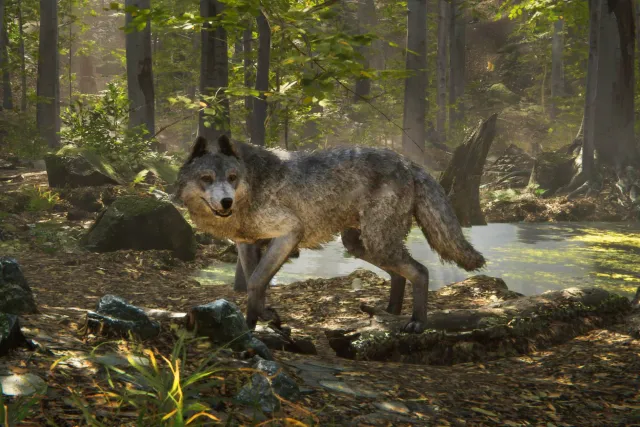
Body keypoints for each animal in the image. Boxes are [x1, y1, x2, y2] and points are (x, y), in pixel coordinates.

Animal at [176, 135, 486, 333]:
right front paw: (263, 318)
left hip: (377, 242)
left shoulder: (289, 234)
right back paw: (389, 313)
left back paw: (417, 322)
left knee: (420, 271)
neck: (252, 186)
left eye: (232, 178)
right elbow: (258, 283)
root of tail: (409, 162)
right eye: (206, 179)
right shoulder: (246, 244)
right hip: (360, 244)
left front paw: (252, 326)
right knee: (400, 274)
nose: (226, 202)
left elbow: (255, 281)